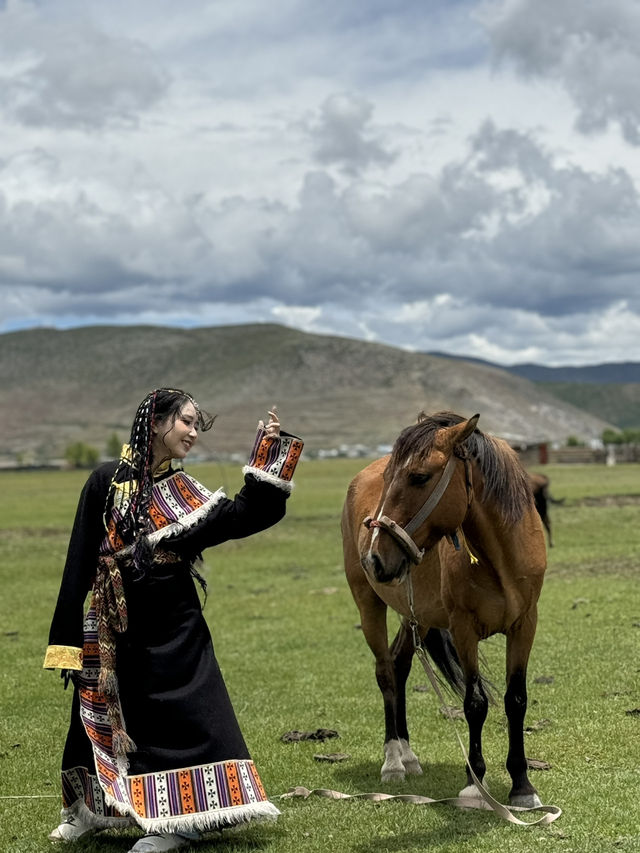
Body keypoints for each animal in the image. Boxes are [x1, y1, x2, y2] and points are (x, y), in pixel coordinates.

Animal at [342, 412, 548, 804]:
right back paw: (393, 761)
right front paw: (474, 783)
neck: (499, 560)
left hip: (417, 616)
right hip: (367, 603)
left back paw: (408, 756)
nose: (374, 558)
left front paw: (522, 785)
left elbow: (516, 699)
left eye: (419, 476)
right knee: (385, 672)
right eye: (389, 478)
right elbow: (475, 704)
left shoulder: (525, 625)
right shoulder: (463, 629)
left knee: (400, 664)